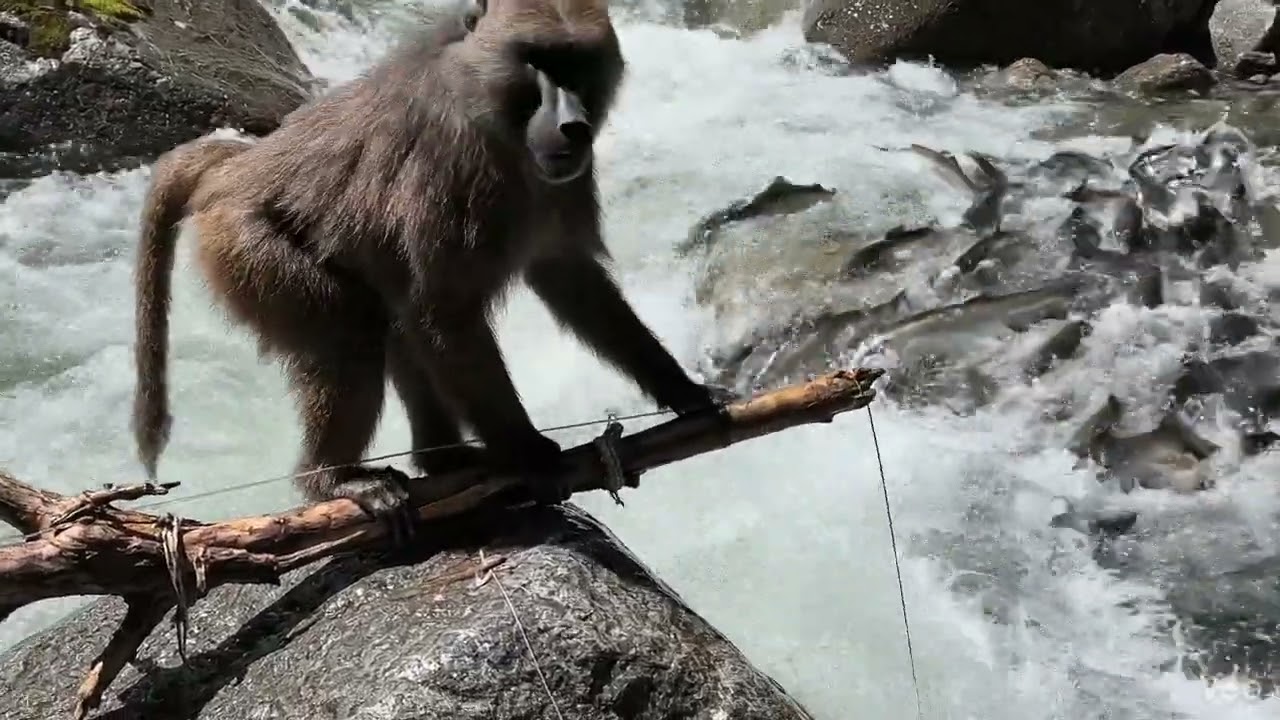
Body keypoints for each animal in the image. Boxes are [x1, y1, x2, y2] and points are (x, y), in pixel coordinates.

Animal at [130, 0, 727, 541]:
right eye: (537, 61)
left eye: (577, 63)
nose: (573, 127)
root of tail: (234, 170)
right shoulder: (454, 164)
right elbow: (445, 308)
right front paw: (529, 452)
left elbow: (568, 279)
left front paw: (685, 391)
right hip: (246, 245)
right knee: (356, 331)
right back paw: (335, 480)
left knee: (392, 317)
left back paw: (442, 461)